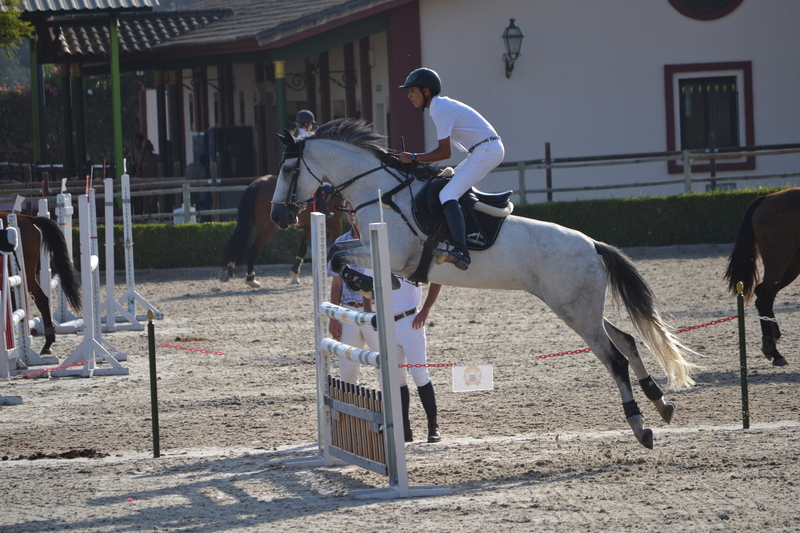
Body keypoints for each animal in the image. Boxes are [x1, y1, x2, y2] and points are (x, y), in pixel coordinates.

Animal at [269, 118, 698, 450]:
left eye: (288, 171)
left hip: (575, 312)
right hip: (581, 309)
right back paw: (661, 403)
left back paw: (640, 426)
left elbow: (337, 258)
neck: (381, 190)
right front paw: (366, 282)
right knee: (626, 340)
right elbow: (333, 255)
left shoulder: (392, 251)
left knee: (615, 359)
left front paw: (367, 280)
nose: (277, 217)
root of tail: (593, 245)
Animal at [724, 187, 800, 367]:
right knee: (765, 298)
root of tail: (766, 198)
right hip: (779, 262)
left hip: (792, 264)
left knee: (762, 293)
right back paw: (773, 350)